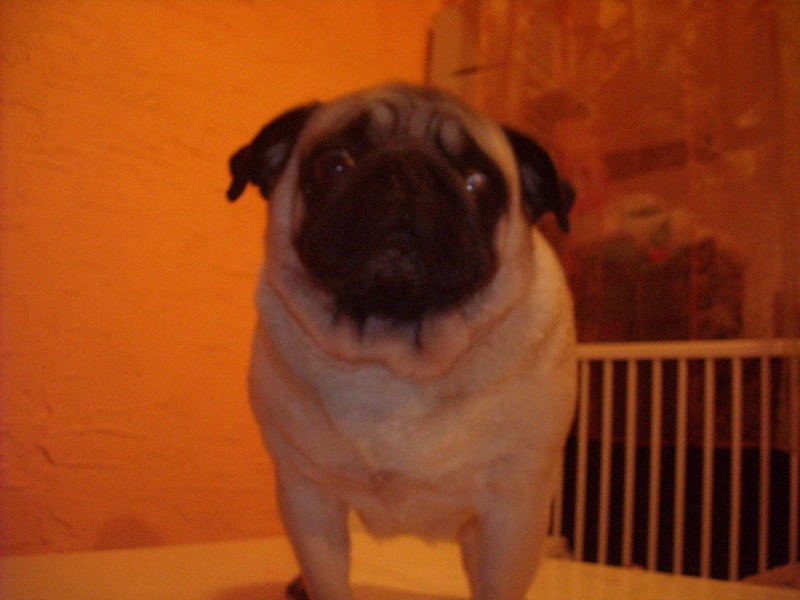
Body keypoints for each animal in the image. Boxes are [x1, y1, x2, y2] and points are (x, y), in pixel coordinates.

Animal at [227, 83, 577, 600]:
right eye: (335, 164)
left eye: (477, 182)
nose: (408, 173)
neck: (393, 356)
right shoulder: (307, 498)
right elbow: (328, 581)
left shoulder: (512, 514)